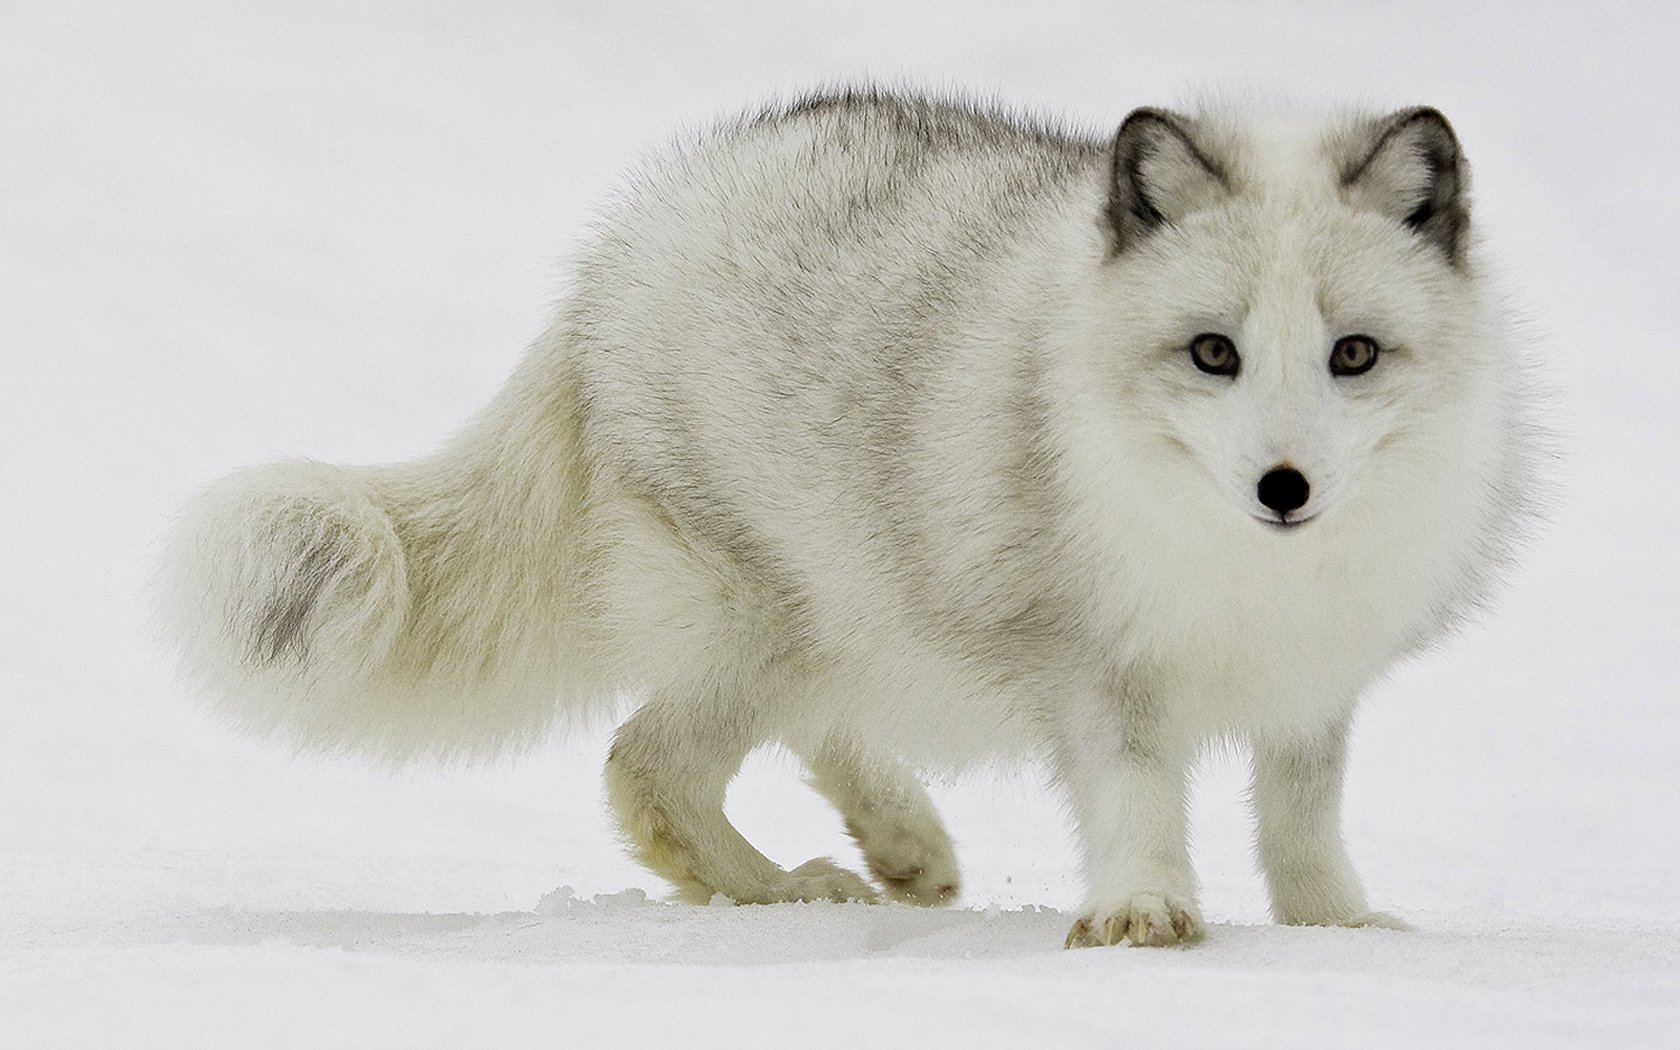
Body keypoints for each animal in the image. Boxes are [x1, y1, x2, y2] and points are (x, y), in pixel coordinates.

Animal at [156, 88, 1536, 947]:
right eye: (1213, 353)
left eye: (1353, 354)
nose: (1283, 489)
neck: (1242, 569)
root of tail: (618, 249)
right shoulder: (1099, 666)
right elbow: (1140, 798)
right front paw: (1145, 916)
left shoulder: (1313, 680)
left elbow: (1303, 820)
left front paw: (1338, 931)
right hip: (766, 619)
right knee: (644, 768)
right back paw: (785, 895)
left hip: (843, 614)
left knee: (805, 732)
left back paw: (903, 847)